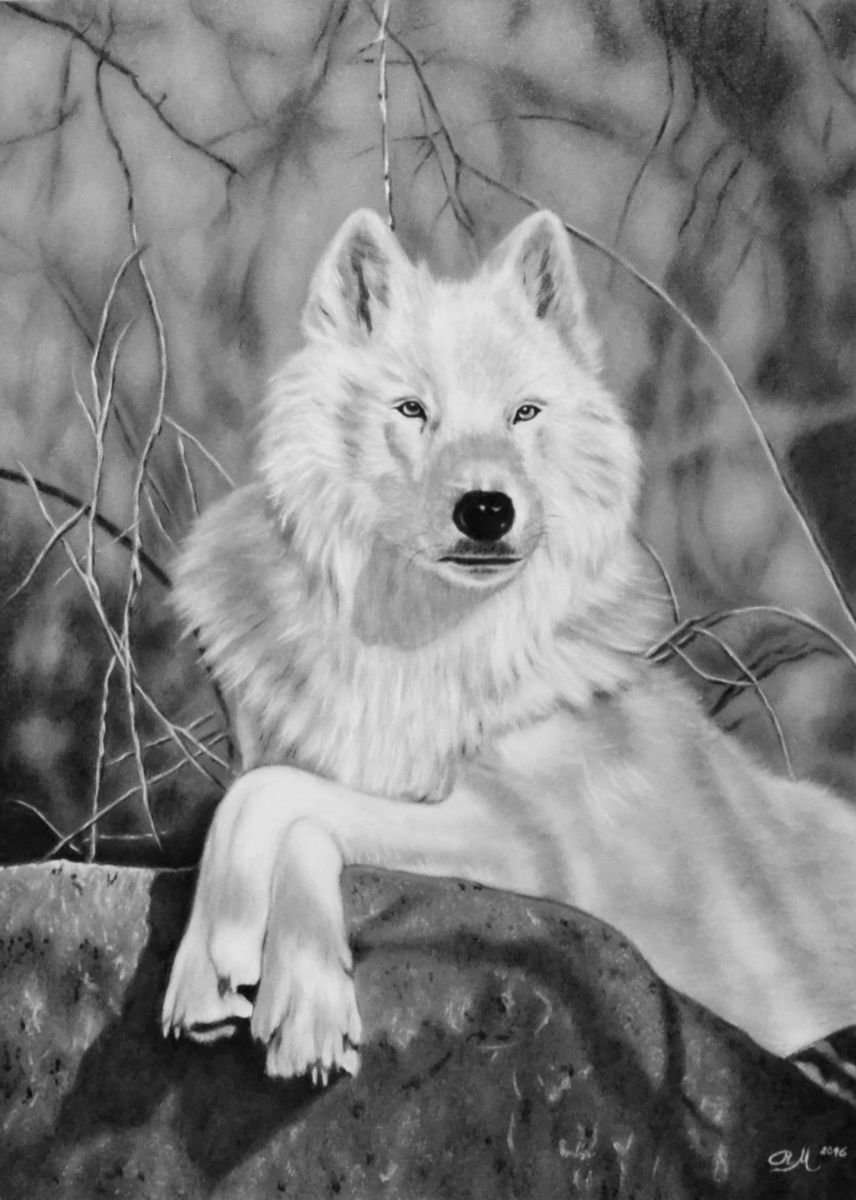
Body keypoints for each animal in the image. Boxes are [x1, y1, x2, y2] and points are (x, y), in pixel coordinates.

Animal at [162, 208, 856, 1084]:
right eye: (412, 410)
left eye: (524, 413)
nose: (486, 509)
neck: (416, 647)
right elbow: (264, 794)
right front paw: (223, 976)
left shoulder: (535, 845)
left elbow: (284, 806)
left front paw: (281, 986)